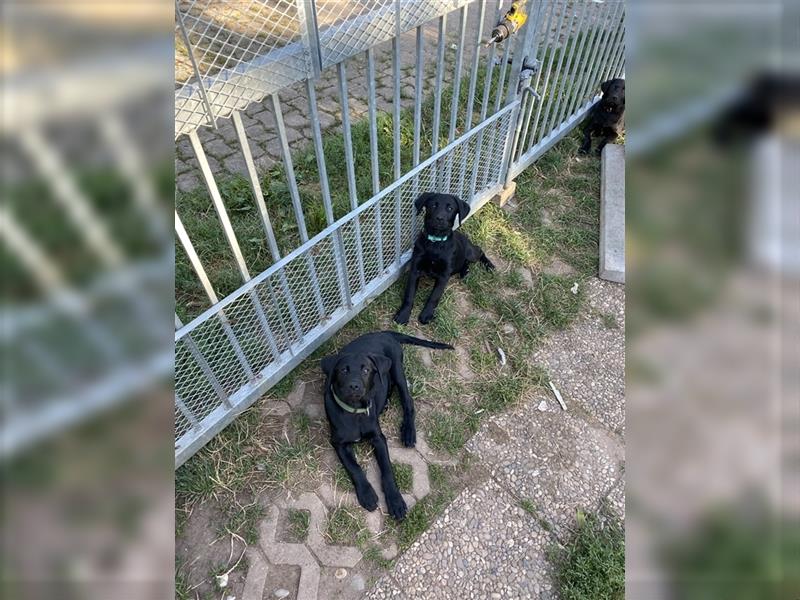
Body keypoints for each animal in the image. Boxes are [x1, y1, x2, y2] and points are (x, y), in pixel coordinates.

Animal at [322, 330, 454, 516]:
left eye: (366, 370)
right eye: (343, 370)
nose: (354, 386)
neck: (355, 411)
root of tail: (382, 332)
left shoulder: (379, 438)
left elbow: (387, 469)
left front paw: (395, 500)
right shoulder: (339, 443)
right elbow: (354, 467)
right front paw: (367, 494)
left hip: (397, 368)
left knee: (408, 402)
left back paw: (408, 432)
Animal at [394, 193, 494, 326]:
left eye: (450, 208)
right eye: (433, 205)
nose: (439, 218)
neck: (435, 243)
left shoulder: (443, 275)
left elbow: (434, 297)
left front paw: (426, 315)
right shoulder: (415, 270)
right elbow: (409, 295)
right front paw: (403, 315)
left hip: (470, 253)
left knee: (479, 250)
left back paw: (489, 266)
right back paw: (465, 271)